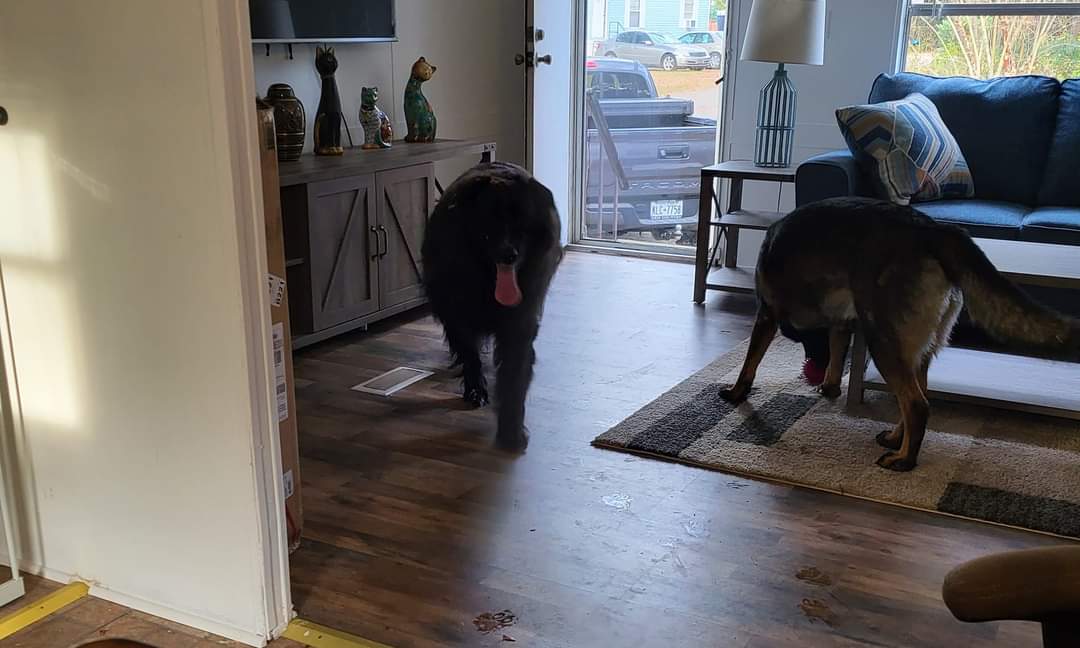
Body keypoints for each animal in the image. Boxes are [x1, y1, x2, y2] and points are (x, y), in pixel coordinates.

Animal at [422, 162, 562, 450]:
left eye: (522, 224)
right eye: (491, 220)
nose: (509, 254)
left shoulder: (521, 320)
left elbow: (514, 372)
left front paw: (511, 430)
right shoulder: (457, 312)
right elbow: (470, 353)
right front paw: (476, 388)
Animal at [721, 197, 1080, 471]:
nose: (815, 372)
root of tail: (933, 230)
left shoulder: (767, 314)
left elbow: (751, 360)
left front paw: (738, 392)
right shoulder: (841, 324)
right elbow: (838, 350)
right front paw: (831, 385)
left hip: (884, 344)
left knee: (917, 405)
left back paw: (905, 460)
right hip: (917, 348)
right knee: (918, 398)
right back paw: (897, 440)